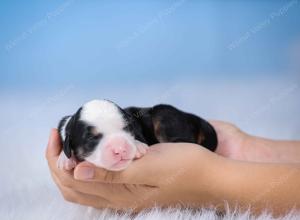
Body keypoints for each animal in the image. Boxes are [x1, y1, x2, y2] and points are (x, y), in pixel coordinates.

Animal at [57, 99, 218, 170]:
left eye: (127, 128)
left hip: (162, 113)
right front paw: (65, 160)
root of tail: (194, 118)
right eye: (91, 138)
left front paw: (138, 146)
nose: (120, 149)